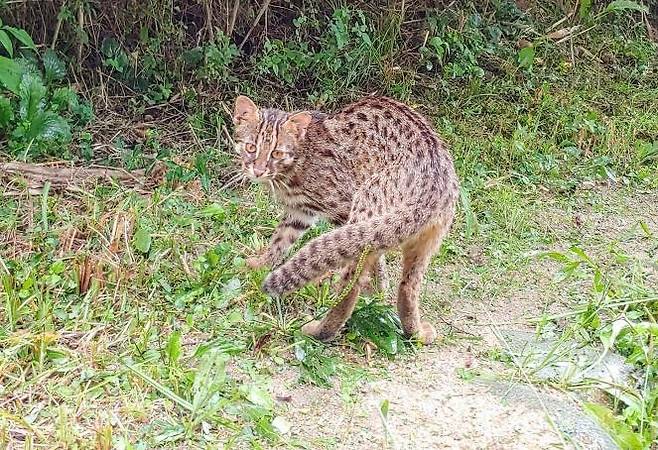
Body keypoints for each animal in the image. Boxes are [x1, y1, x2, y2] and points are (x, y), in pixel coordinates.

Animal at [234, 93, 456, 342]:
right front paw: (259, 264)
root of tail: (433, 186)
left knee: (352, 285)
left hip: (366, 206)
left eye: (277, 153)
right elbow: (279, 241)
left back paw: (320, 331)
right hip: (427, 238)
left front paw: (377, 288)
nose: (258, 170)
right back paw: (415, 333)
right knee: (408, 286)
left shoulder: (343, 207)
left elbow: (375, 264)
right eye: (251, 147)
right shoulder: (300, 213)